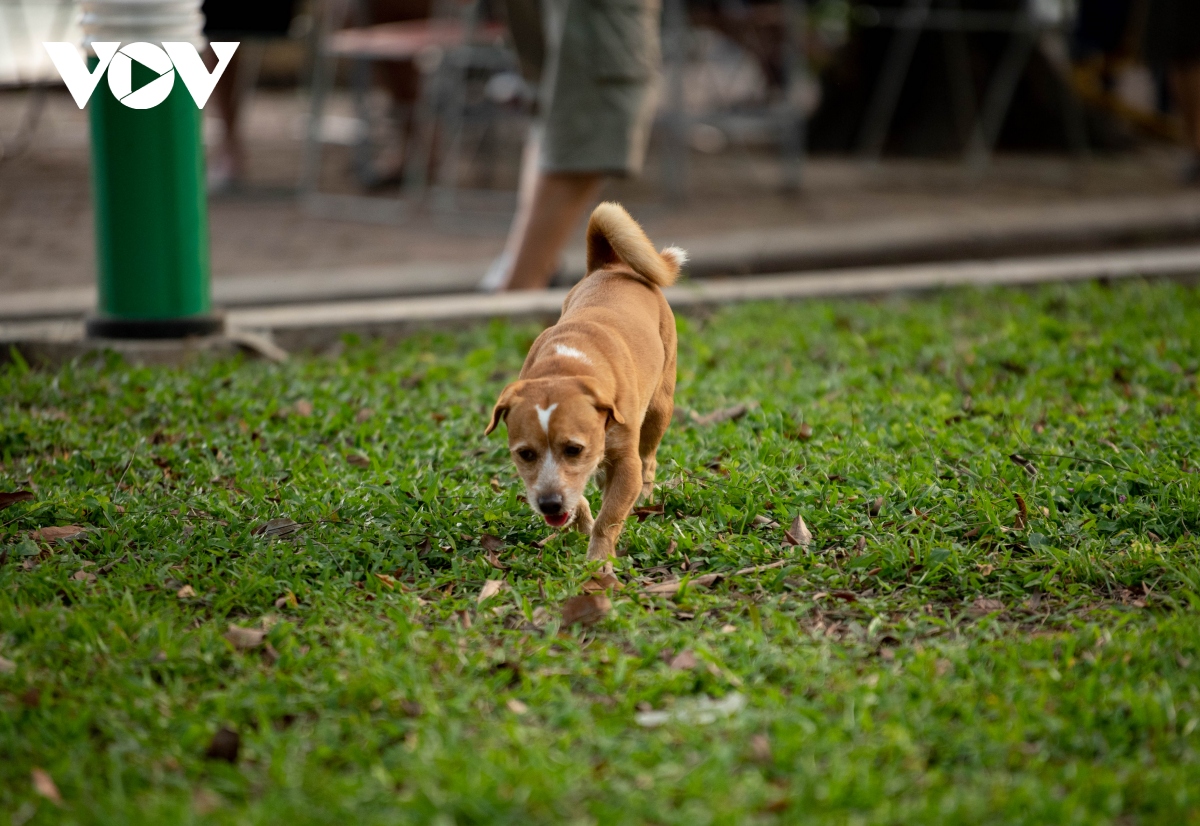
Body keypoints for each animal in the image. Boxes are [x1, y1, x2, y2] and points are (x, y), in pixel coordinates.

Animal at [482, 202, 681, 564]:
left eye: (574, 449)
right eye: (525, 454)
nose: (549, 504)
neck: (565, 367)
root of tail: (611, 265)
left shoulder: (625, 462)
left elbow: (610, 516)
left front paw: (598, 564)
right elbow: (581, 499)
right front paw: (582, 522)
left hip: (660, 407)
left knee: (649, 459)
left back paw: (645, 497)